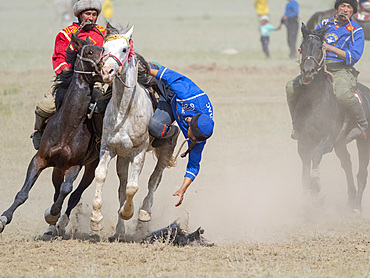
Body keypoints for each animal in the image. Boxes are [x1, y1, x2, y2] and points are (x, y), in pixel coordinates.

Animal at [0, 33, 104, 236]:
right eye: (89, 51)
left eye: (104, 49)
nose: (107, 67)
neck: (67, 126)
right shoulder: (39, 159)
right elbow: (23, 193)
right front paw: (3, 219)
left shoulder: (74, 165)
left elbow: (67, 190)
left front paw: (53, 215)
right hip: (57, 167)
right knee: (57, 190)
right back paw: (51, 228)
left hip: (90, 166)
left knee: (73, 195)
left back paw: (60, 222)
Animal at [89, 24, 176, 241]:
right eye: (104, 49)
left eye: (124, 49)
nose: (107, 71)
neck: (125, 111)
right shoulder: (109, 148)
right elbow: (101, 176)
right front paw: (96, 219)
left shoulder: (139, 152)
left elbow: (133, 187)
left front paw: (128, 212)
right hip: (123, 157)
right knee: (122, 186)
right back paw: (119, 230)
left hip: (165, 149)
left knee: (155, 179)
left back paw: (144, 212)